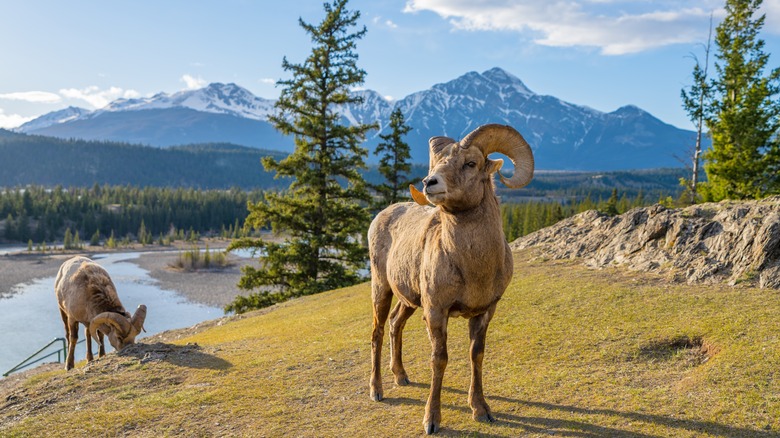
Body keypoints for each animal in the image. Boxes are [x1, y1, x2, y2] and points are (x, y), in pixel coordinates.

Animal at [368, 124, 532, 434]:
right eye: (437, 164)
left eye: (470, 163)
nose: (429, 183)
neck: (472, 268)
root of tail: (380, 216)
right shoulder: (436, 311)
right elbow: (439, 359)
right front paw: (431, 421)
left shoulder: (485, 312)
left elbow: (476, 355)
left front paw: (481, 410)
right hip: (381, 289)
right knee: (378, 332)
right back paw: (377, 391)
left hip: (408, 300)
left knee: (395, 324)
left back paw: (401, 377)